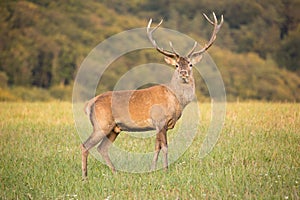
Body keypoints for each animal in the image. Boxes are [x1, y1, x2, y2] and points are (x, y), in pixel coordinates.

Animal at [79, 12, 223, 178]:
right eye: (176, 65)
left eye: (190, 64)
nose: (184, 73)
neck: (176, 100)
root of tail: (89, 104)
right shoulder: (160, 121)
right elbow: (165, 147)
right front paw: (165, 170)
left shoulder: (161, 125)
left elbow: (157, 146)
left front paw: (152, 169)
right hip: (101, 124)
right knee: (85, 145)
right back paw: (85, 177)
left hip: (114, 128)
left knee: (102, 148)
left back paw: (115, 173)